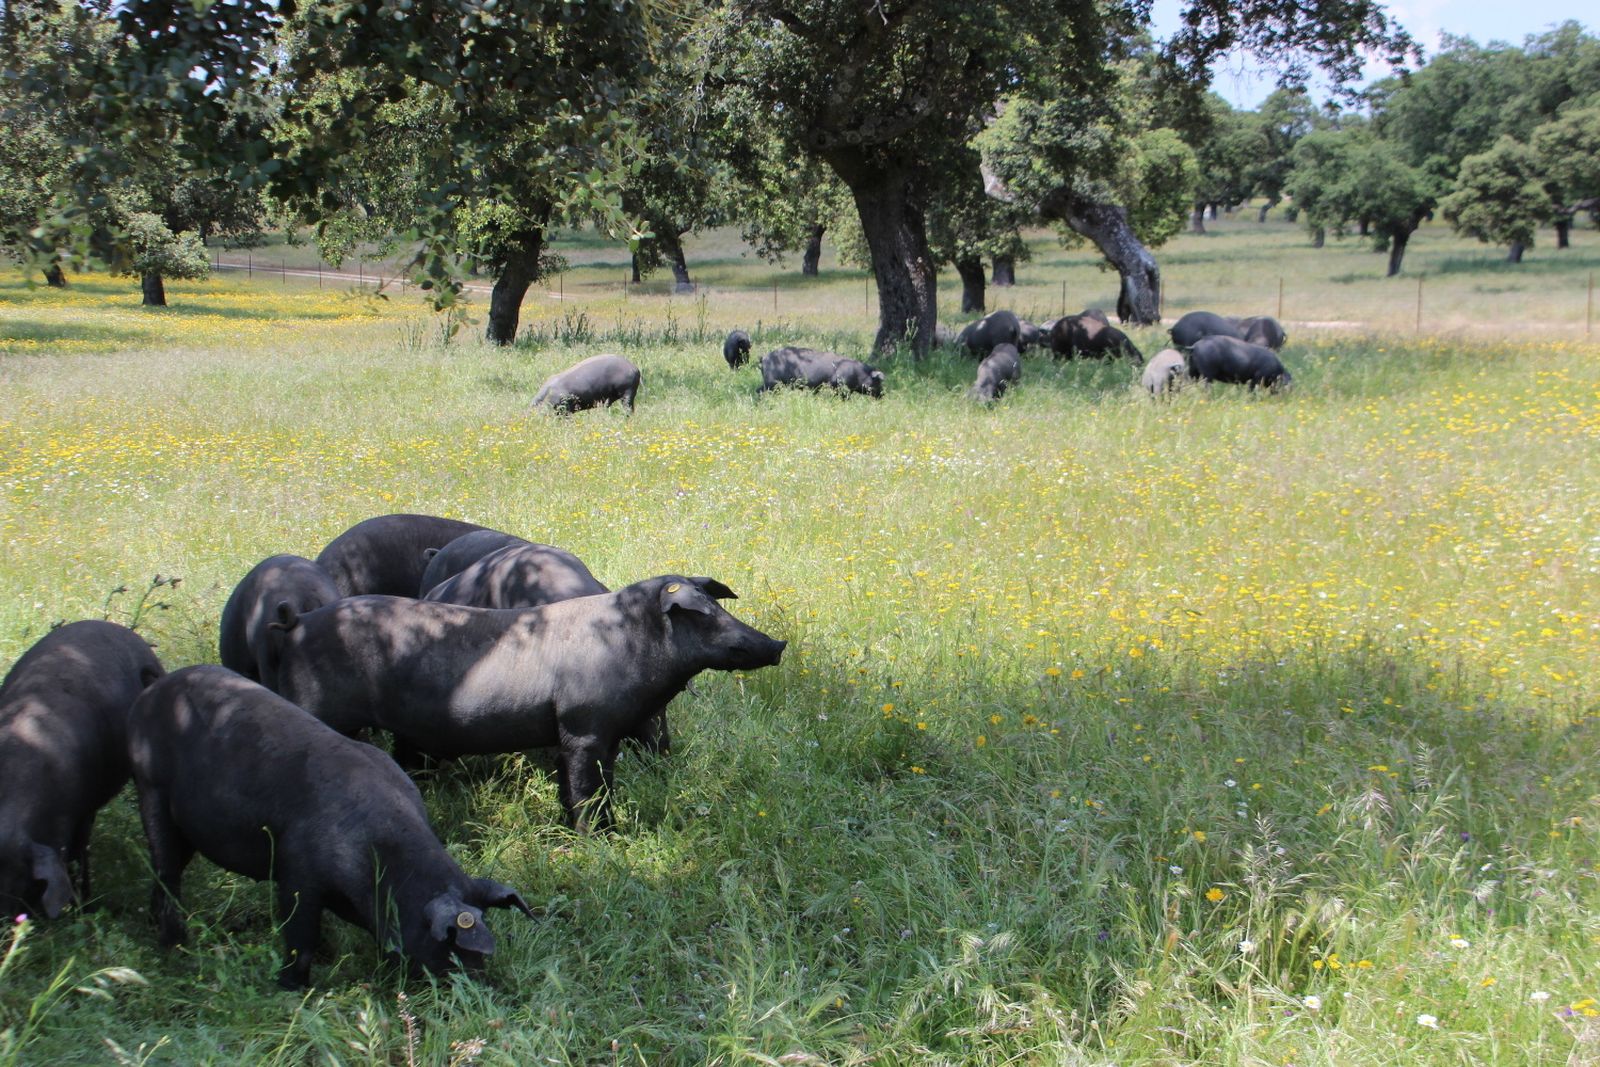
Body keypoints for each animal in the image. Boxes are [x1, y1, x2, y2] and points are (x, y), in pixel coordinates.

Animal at [128, 666, 533, 988]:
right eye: (448, 943)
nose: (479, 987)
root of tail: (154, 688)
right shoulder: (297, 872)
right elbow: (300, 937)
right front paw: (292, 988)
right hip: (149, 786)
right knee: (165, 867)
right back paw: (175, 946)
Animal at [267, 576, 786, 830]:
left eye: (718, 605)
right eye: (703, 615)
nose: (777, 643)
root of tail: (296, 624)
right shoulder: (583, 727)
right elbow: (586, 792)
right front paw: (599, 839)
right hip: (316, 708)